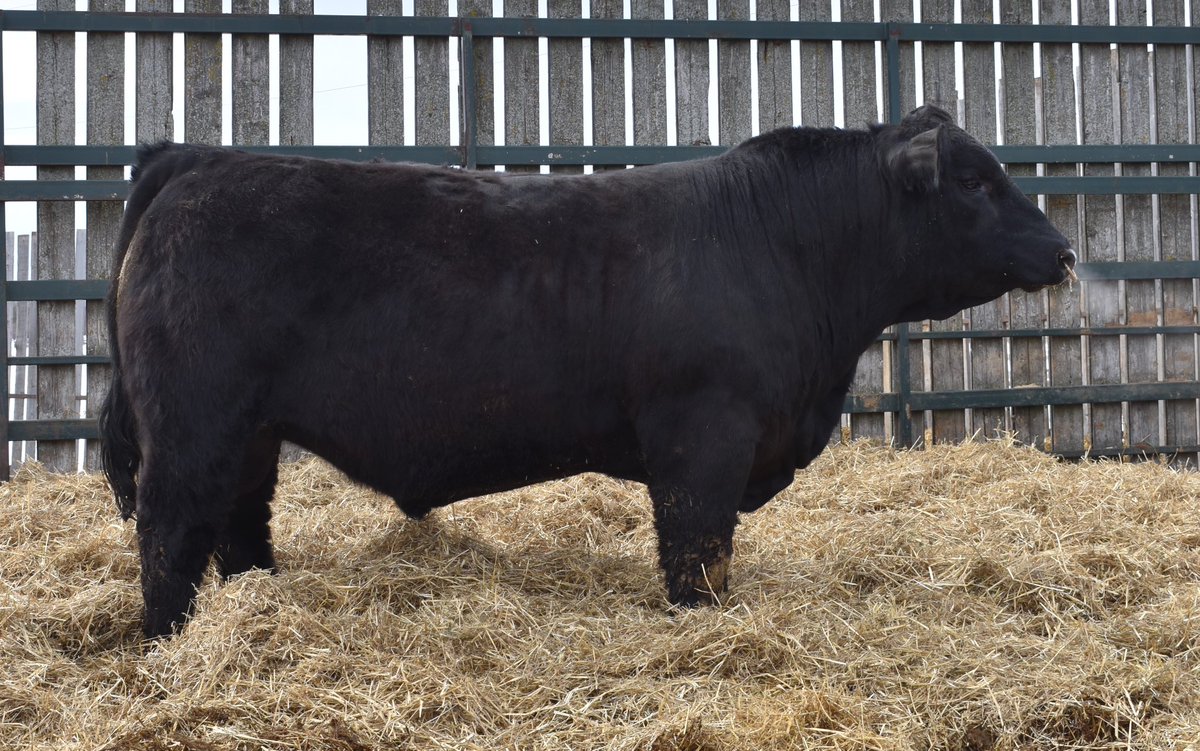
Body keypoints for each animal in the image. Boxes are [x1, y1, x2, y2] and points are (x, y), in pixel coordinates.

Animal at [100, 105, 1075, 638]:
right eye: (975, 182)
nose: (1063, 250)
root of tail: (197, 159)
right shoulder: (702, 439)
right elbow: (696, 554)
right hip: (192, 425)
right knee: (169, 534)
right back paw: (167, 643)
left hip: (249, 432)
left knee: (240, 529)